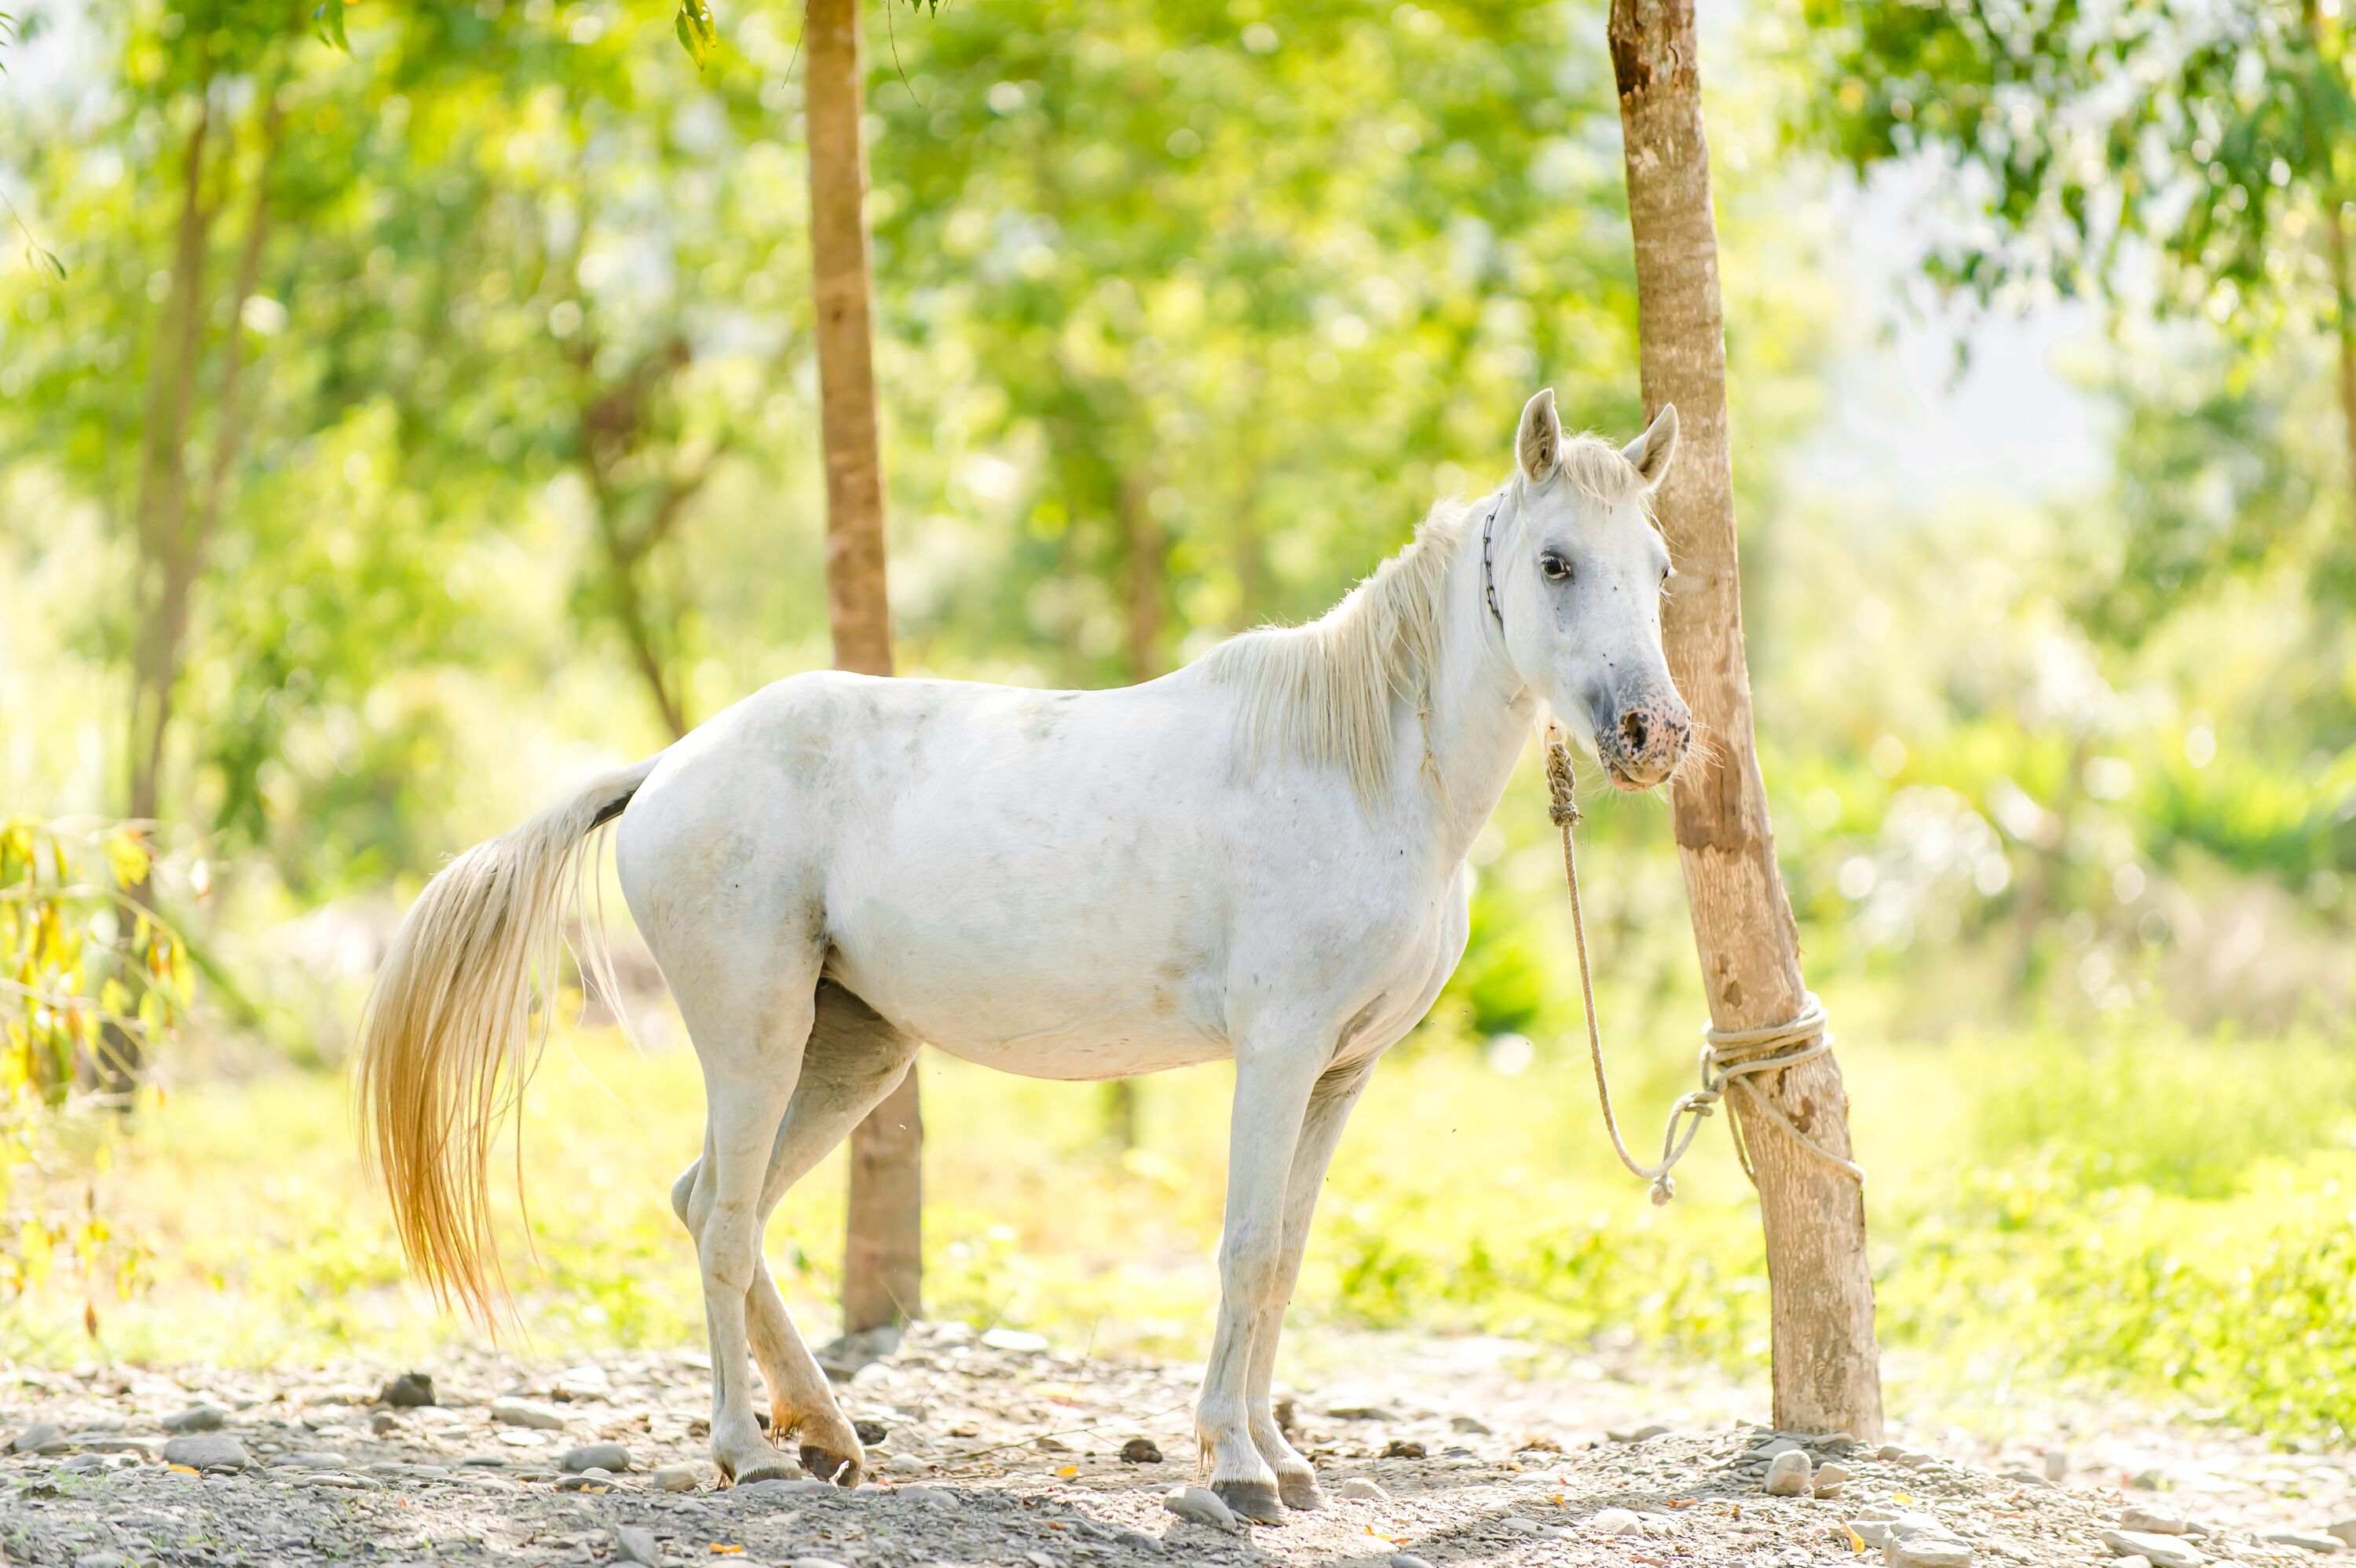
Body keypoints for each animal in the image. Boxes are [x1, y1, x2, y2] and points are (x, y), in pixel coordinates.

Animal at [356, 388, 1693, 1523]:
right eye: (1556, 562)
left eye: (1662, 568)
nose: (1653, 733)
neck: (1362, 767)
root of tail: (669, 768)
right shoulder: (1277, 1056)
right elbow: (1248, 1250)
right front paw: (1237, 1469)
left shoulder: (1339, 1072)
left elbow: (1287, 1257)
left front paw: (1282, 1458)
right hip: (755, 1036)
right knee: (727, 1223)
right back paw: (749, 1453)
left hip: (851, 1055)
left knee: (709, 1204)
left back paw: (827, 1436)